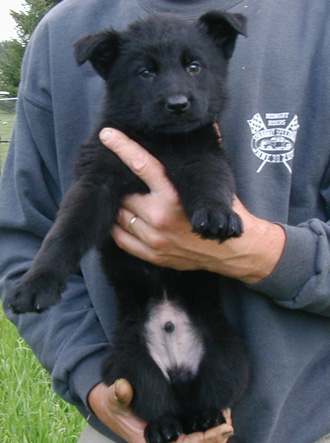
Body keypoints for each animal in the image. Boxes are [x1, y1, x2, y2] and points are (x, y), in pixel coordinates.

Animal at [9, 10, 249, 443]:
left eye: (194, 66)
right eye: (145, 72)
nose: (178, 104)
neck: (161, 143)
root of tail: (178, 369)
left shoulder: (204, 154)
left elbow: (213, 182)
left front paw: (218, 216)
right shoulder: (97, 180)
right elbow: (63, 233)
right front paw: (36, 284)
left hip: (228, 355)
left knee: (210, 394)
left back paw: (204, 419)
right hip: (129, 360)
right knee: (155, 400)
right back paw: (165, 427)